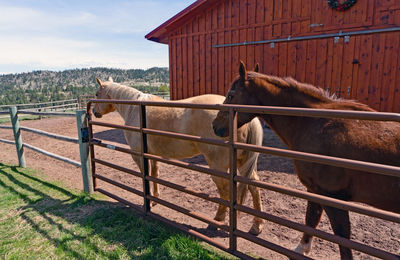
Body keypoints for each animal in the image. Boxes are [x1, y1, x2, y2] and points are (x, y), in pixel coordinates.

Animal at [92, 78, 264, 235]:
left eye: (96, 94)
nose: (94, 112)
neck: (134, 108)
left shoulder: (139, 156)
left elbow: (145, 177)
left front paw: (147, 203)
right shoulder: (151, 155)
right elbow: (154, 175)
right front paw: (155, 199)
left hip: (219, 167)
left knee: (225, 192)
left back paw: (216, 222)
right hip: (243, 163)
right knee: (254, 187)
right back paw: (257, 226)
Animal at [212, 62, 400, 258]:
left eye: (231, 95)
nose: (215, 125)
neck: (315, 123)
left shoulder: (331, 196)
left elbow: (342, 237)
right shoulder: (314, 190)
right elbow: (311, 219)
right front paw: (302, 249)